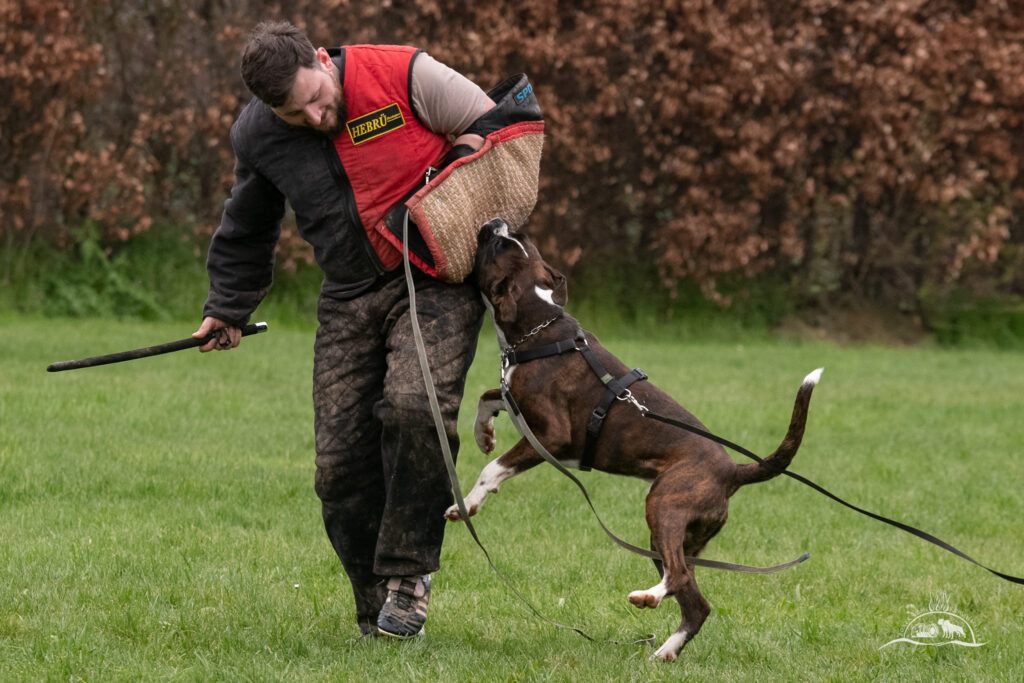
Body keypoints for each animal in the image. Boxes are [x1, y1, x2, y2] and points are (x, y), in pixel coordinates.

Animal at [444, 219, 819, 663]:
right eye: (519, 240)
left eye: (498, 246)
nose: (494, 222)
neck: (541, 324)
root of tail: (733, 471)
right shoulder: (518, 404)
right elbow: (488, 397)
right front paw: (483, 434)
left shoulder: (550, 435)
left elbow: (492, 468)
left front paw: (466, 504)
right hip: (676, 535)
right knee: (696, 601)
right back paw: (665, 653)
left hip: (664, 506)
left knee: (678, 576)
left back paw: (649, 598)